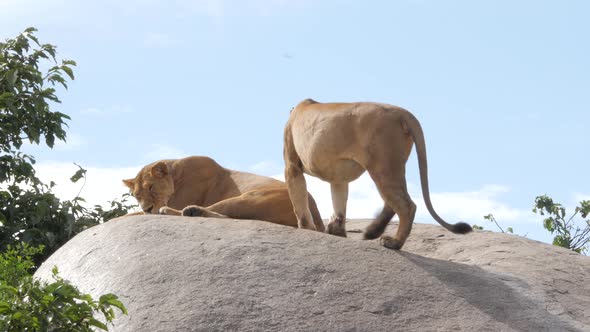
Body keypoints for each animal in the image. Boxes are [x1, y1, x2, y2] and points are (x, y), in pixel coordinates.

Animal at [123, 156, 328, 231]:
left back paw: (186, 211)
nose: (147, 208)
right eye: (136, 195)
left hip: (248, 198)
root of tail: (317, 218)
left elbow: (128, 216)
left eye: (151, 187)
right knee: (233, 217)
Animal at [284, 98, 474, 249]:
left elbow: (299, 200)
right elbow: (339, 202)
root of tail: (403, 113)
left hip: (383, 165)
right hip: (392, 166)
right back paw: (372, 232)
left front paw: (307, 228)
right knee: (392, 203)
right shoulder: (339, 177)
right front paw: (336, 231)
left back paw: (393, 242)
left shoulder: (292, 165)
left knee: (406, 205)